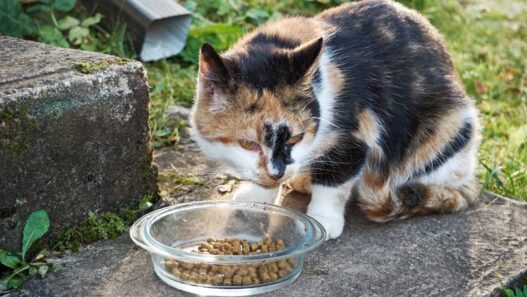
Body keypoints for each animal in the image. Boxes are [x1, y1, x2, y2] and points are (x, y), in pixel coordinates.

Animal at [191, 0, 482, 239]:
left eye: (297, 138)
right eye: (248, 144)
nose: (277, 173)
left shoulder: (357, 133)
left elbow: (335, 180)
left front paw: (323, 220)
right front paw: (255, 198)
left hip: (448, 132)